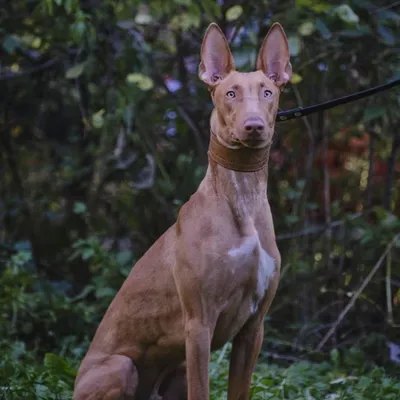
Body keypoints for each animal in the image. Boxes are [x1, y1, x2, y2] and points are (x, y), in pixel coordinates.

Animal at [74, 21, 290, 400]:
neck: (242, 201)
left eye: (267, 92)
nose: (254, 126)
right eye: (230, 94)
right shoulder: (198, 323)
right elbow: (201, 390)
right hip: (122, 367)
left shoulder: (254, 328)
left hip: (173, 374)